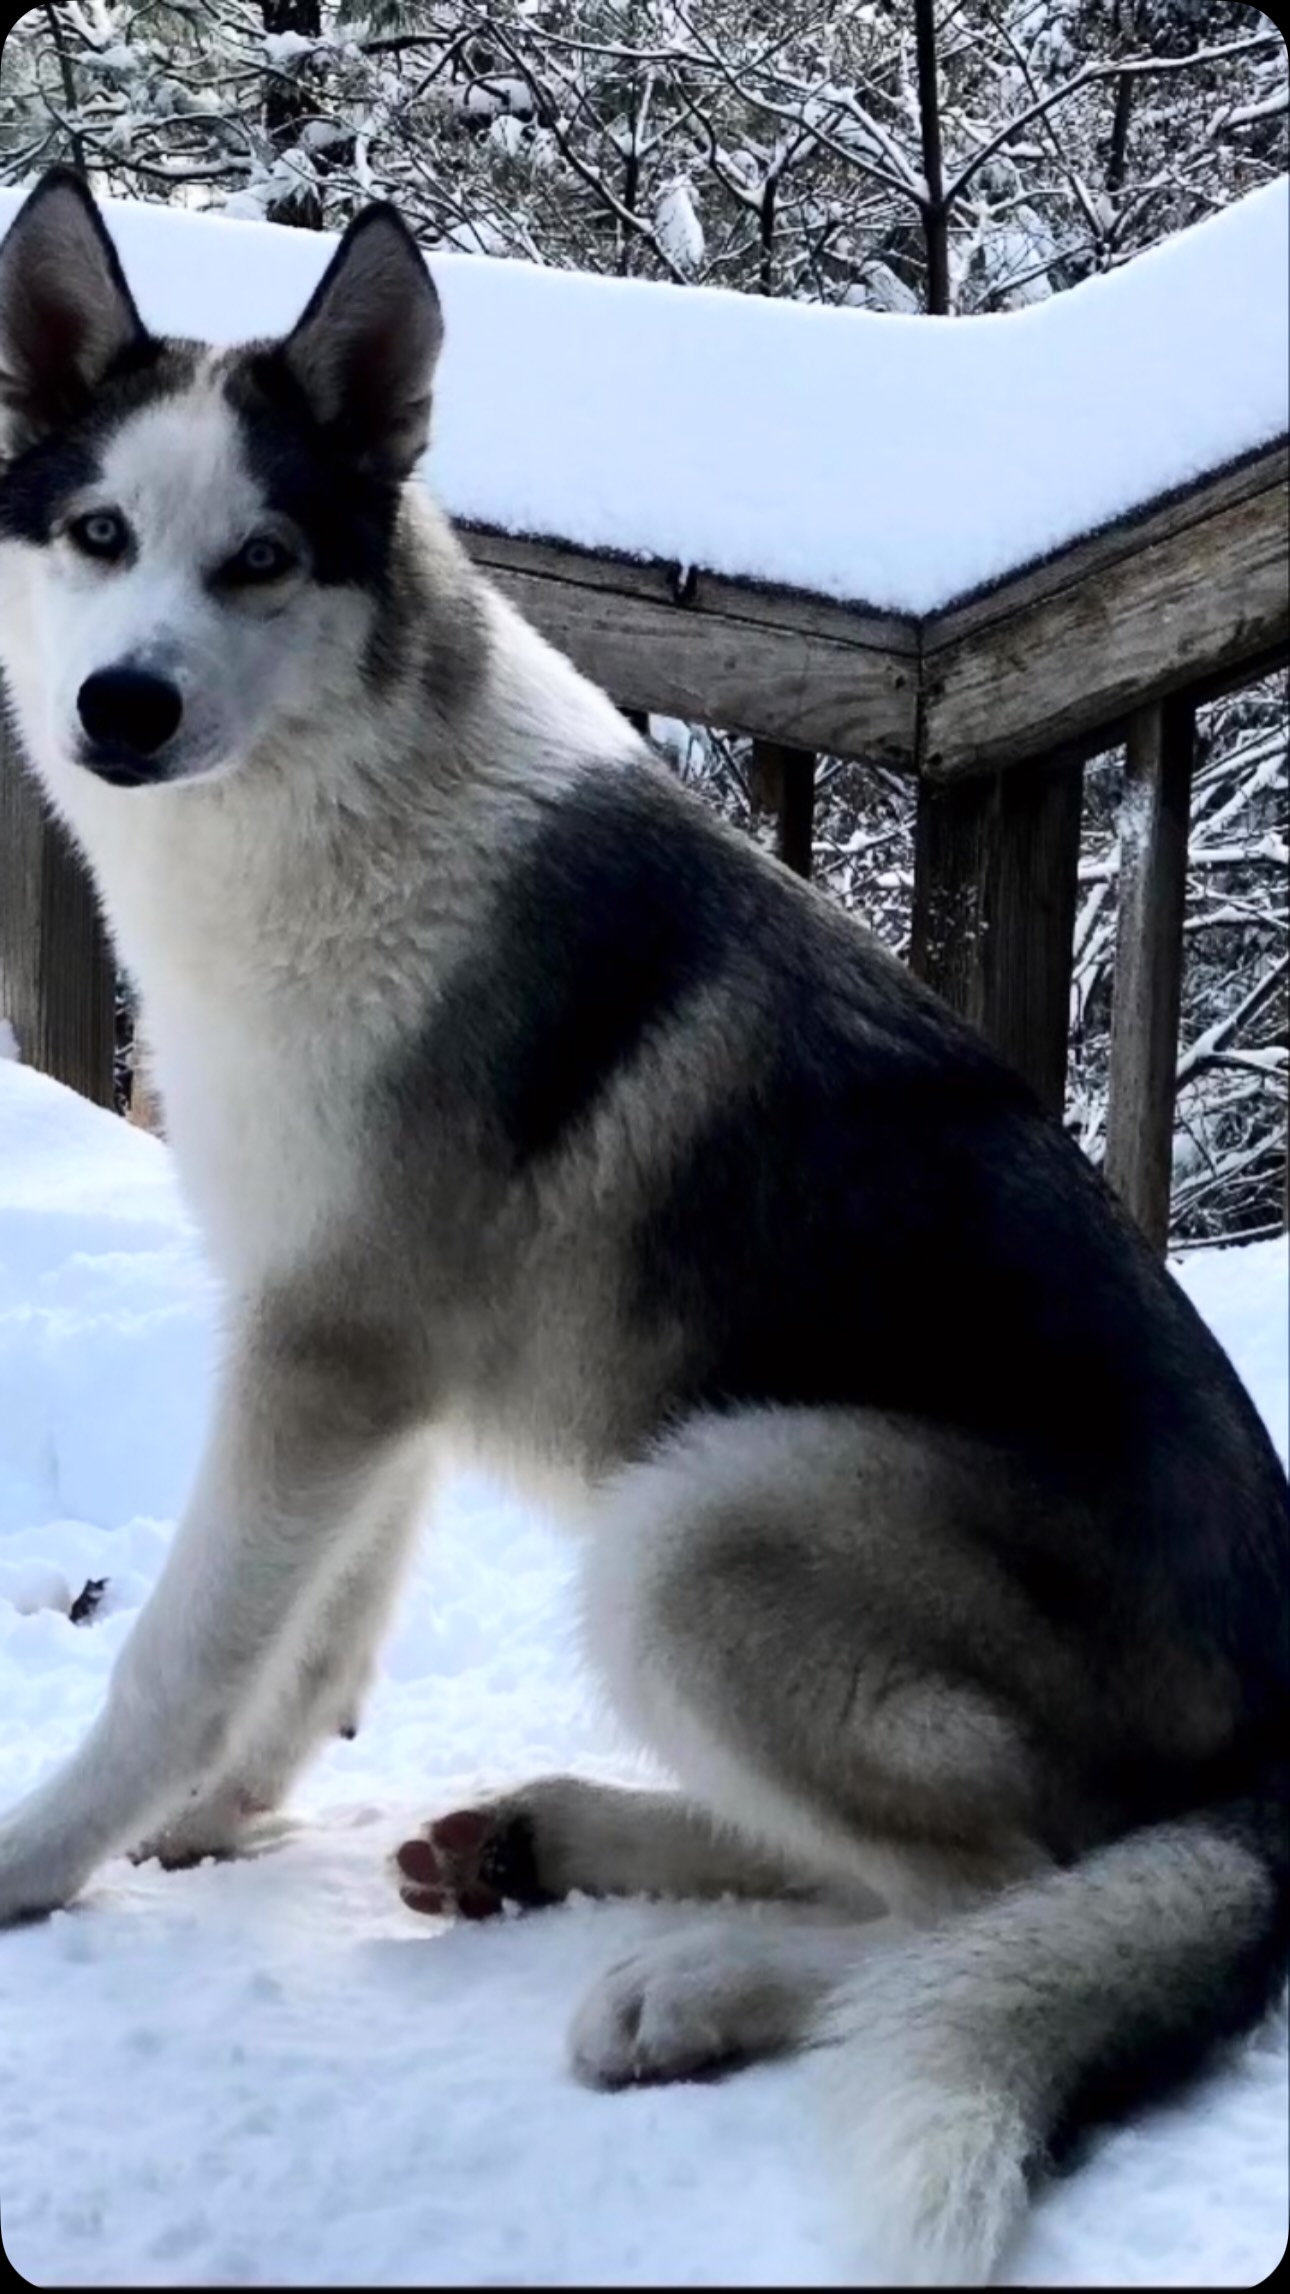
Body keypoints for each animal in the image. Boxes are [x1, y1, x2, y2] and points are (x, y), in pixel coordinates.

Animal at [0, 166, 1285, 2284]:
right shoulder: (370, 1371)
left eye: (261, 558)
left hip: (711, 1504)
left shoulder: (322, 1353)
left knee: (985, 1898)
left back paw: (691, 1982)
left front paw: (39, 1856)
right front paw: (225, 1817)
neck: (328, 801)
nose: (122, 702)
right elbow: (312, 1634)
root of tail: (1277, 1757)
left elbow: (180, 1652)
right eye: (99, 533)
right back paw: (539, 1840)